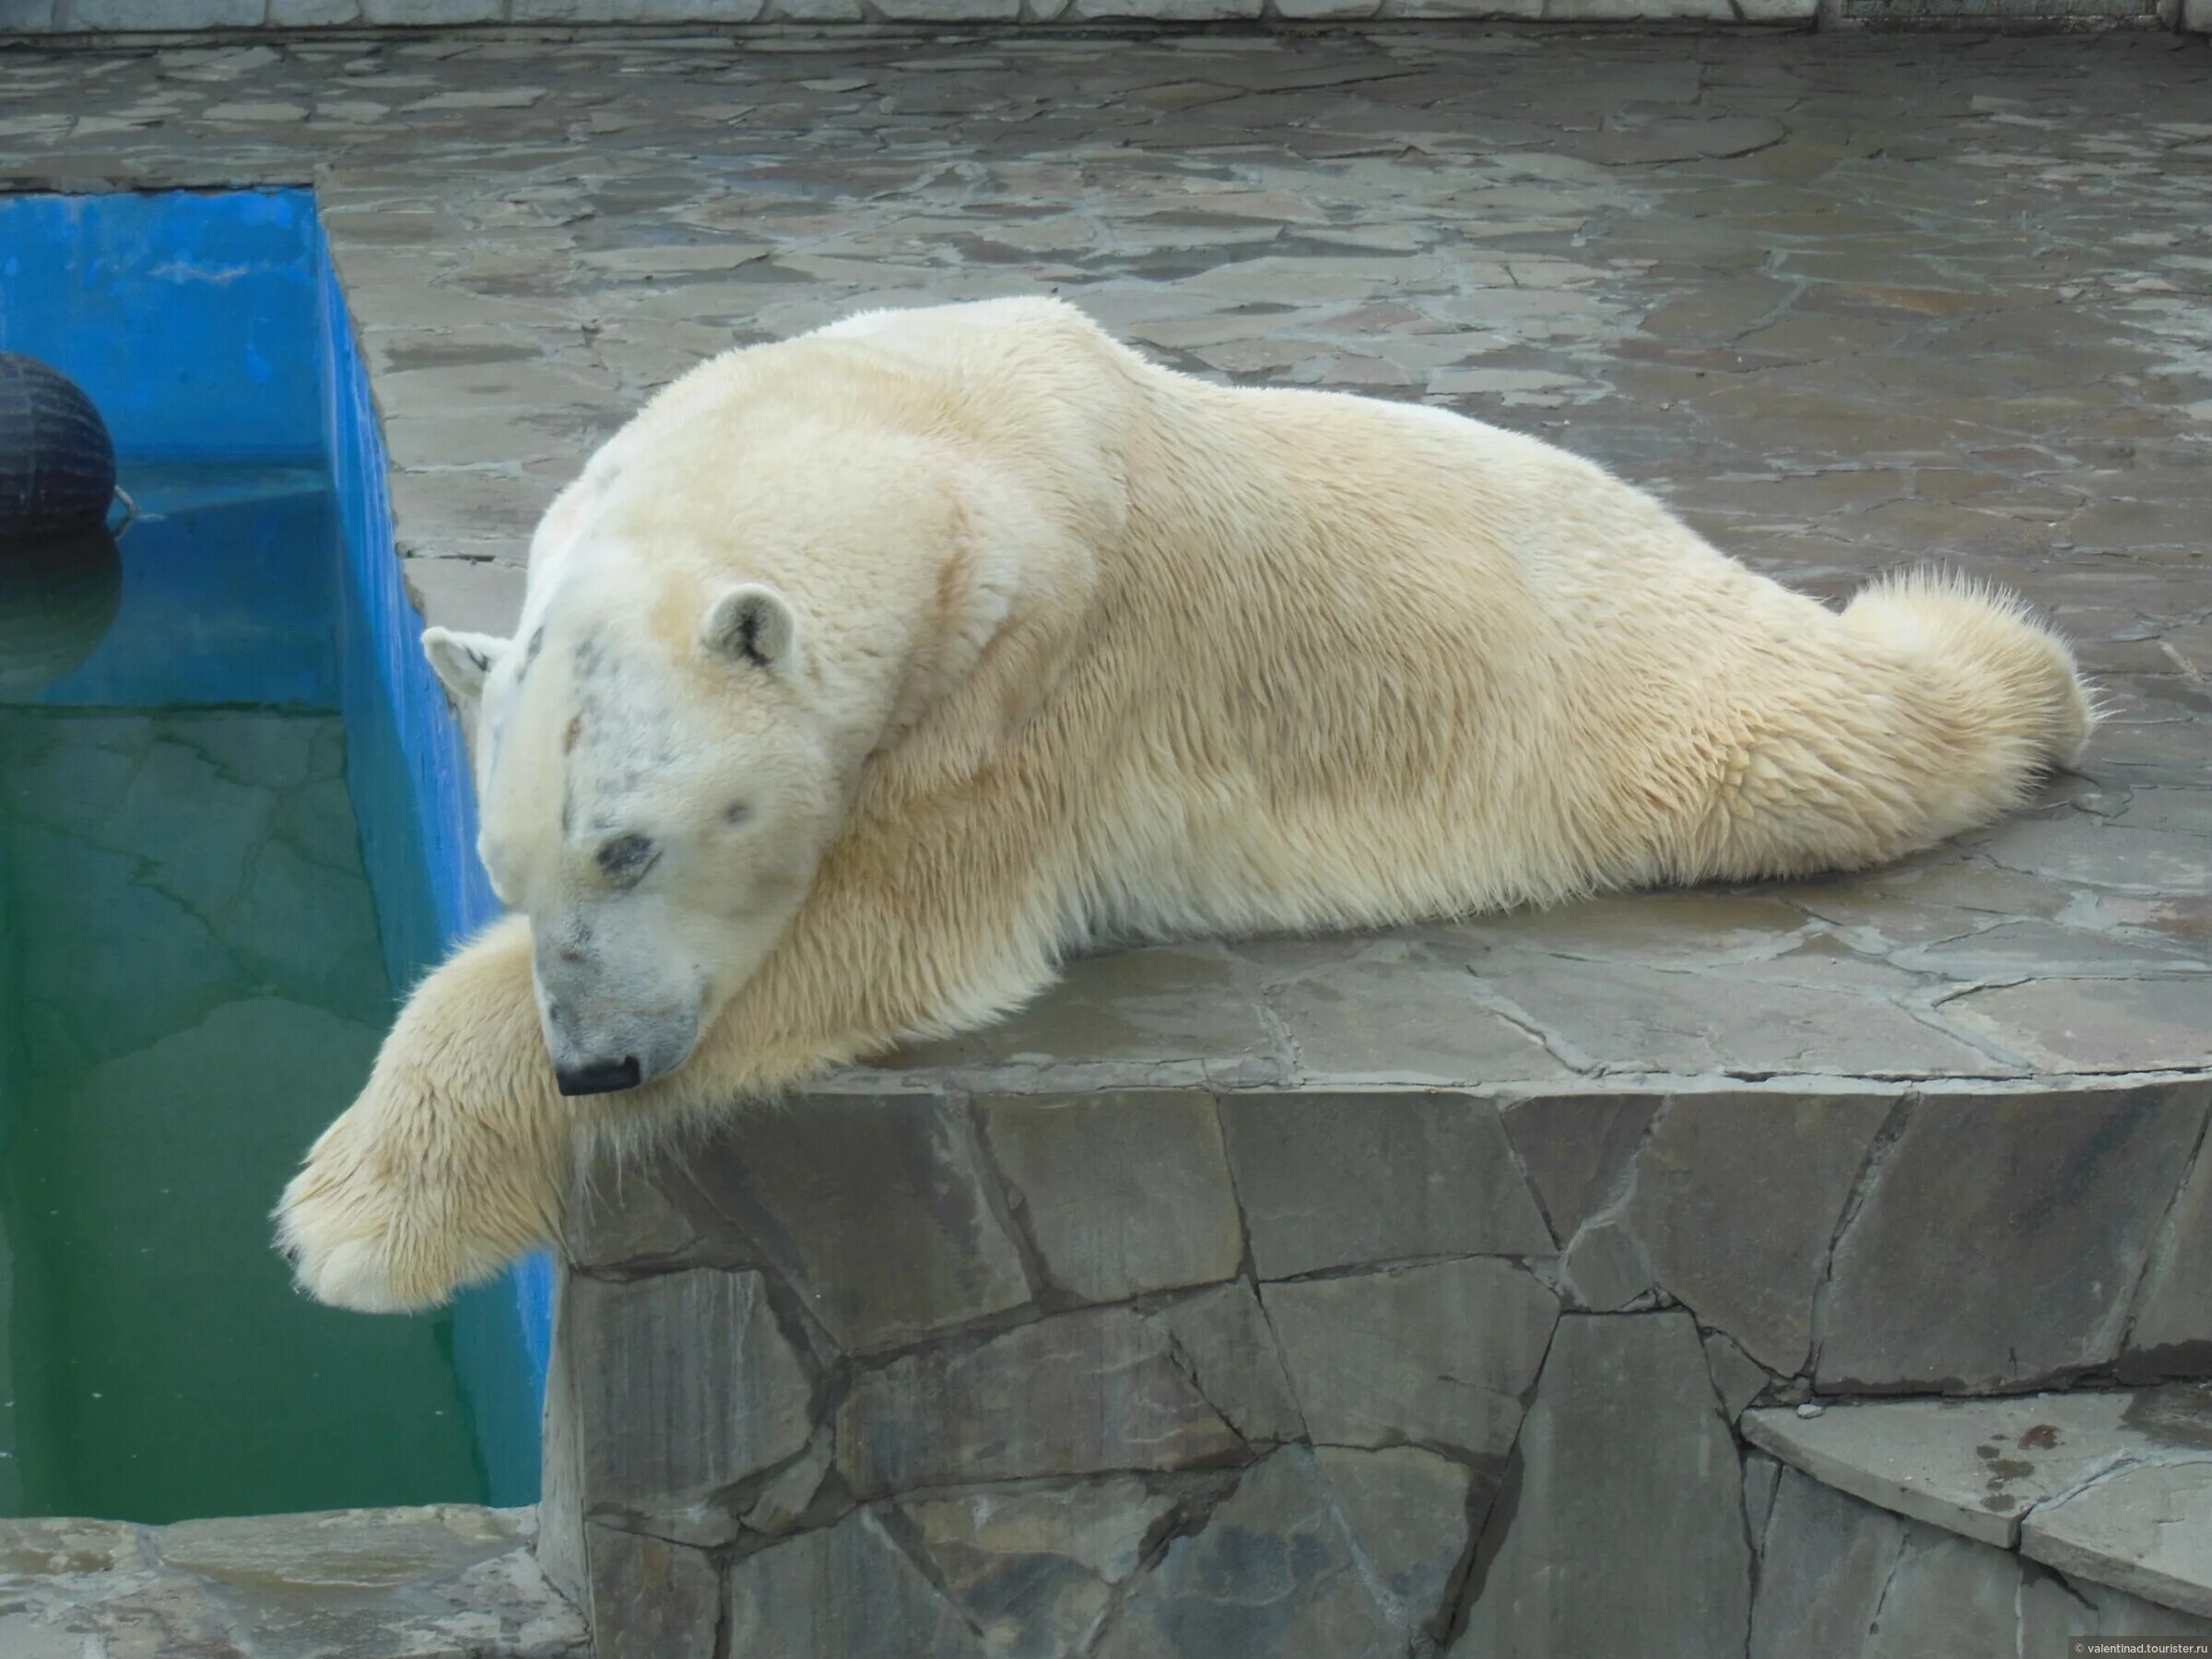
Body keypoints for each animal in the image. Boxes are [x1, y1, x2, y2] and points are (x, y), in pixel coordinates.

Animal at [272, 296, 2088, 1309]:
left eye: (630, 844)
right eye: (510, 865)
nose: (598, 1065)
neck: (912, 424)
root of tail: (1663, 519)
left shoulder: (1037, 662)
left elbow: (895, 924)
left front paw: (352, 1218)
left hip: (1635, 686)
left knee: (1820, 733)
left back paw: (2011, 659)